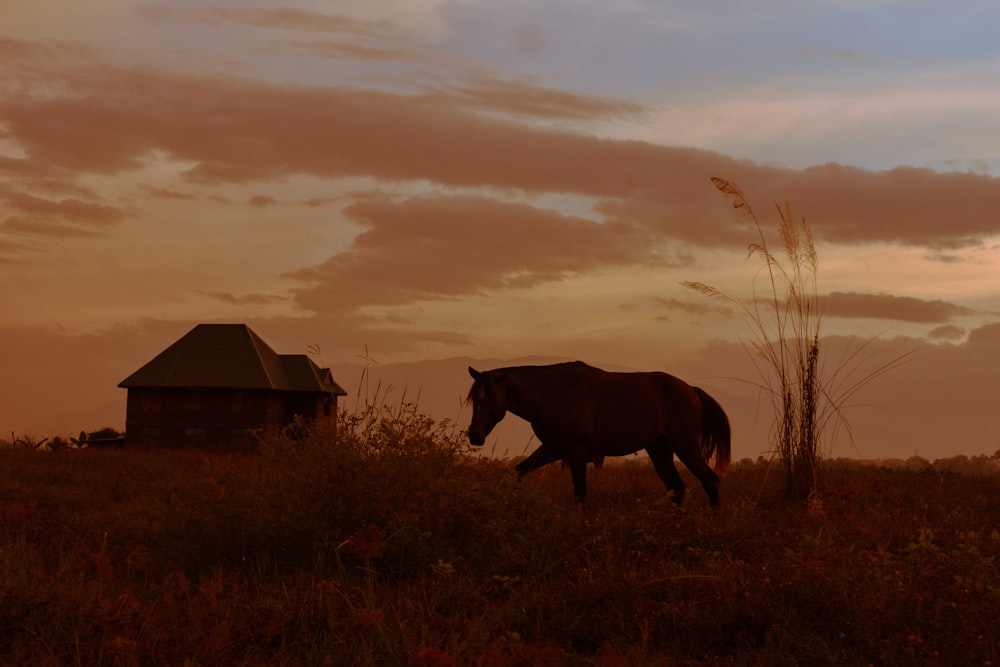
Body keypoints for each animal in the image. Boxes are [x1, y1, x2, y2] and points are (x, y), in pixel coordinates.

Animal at [464, 362, 732, 508]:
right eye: (474, 398)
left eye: (491, 396)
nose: (475, 435)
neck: (552, 394)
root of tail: (692, 391)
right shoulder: (552, 449)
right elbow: (519, 471)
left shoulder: (576, 452)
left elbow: (580, 495)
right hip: (659, 450)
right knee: (676, 488)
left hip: (685, 448)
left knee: (710, 481)